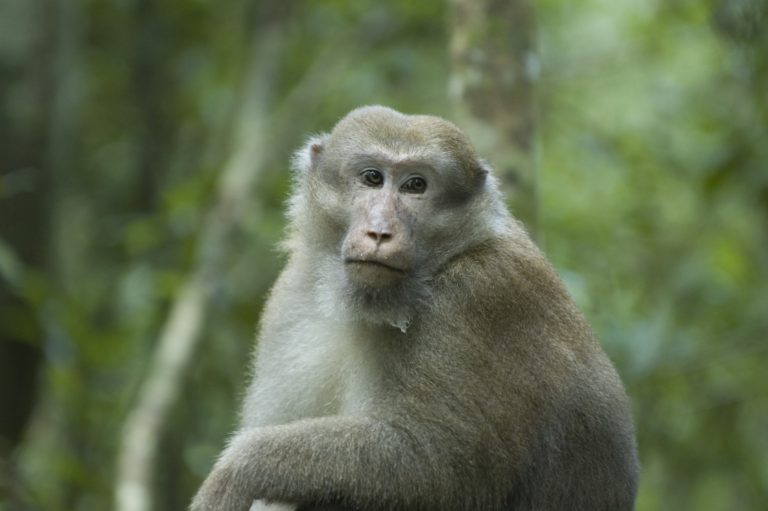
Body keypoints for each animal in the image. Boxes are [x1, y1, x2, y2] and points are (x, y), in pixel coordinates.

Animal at [189, 105, 640, 511]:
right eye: (372, 178)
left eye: (416, 186)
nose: (380, 232)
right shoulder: (291, 294)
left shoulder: (484, 294)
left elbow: (442, 464)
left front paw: (239, 470)